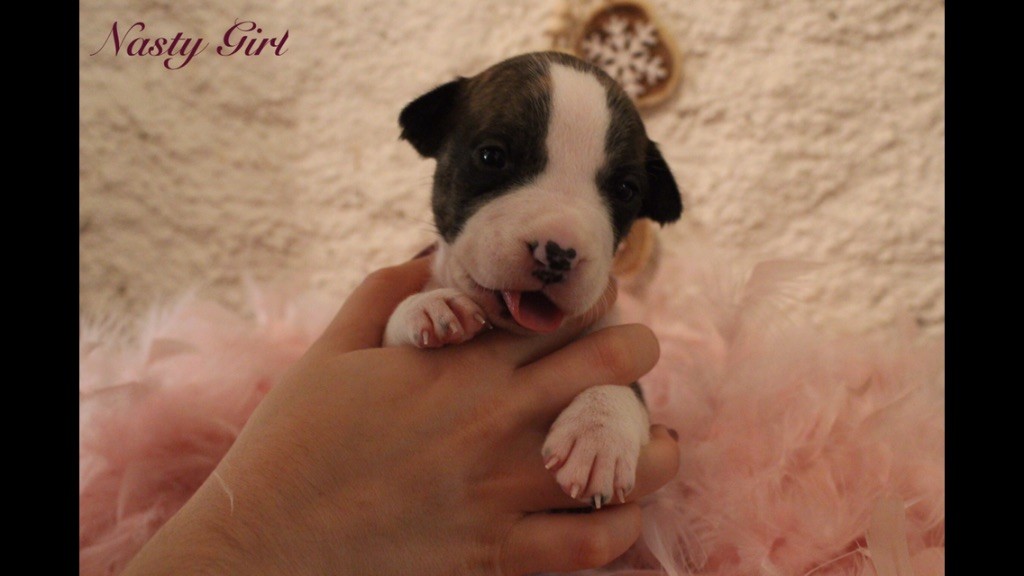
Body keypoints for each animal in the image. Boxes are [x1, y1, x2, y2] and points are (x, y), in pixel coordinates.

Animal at [384, 51, 682, 509]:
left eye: (626, 190)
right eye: (491, 158)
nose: (558, 252)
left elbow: (623, 387)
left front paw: (598, 432)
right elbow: (394, 325)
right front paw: (429, 305)